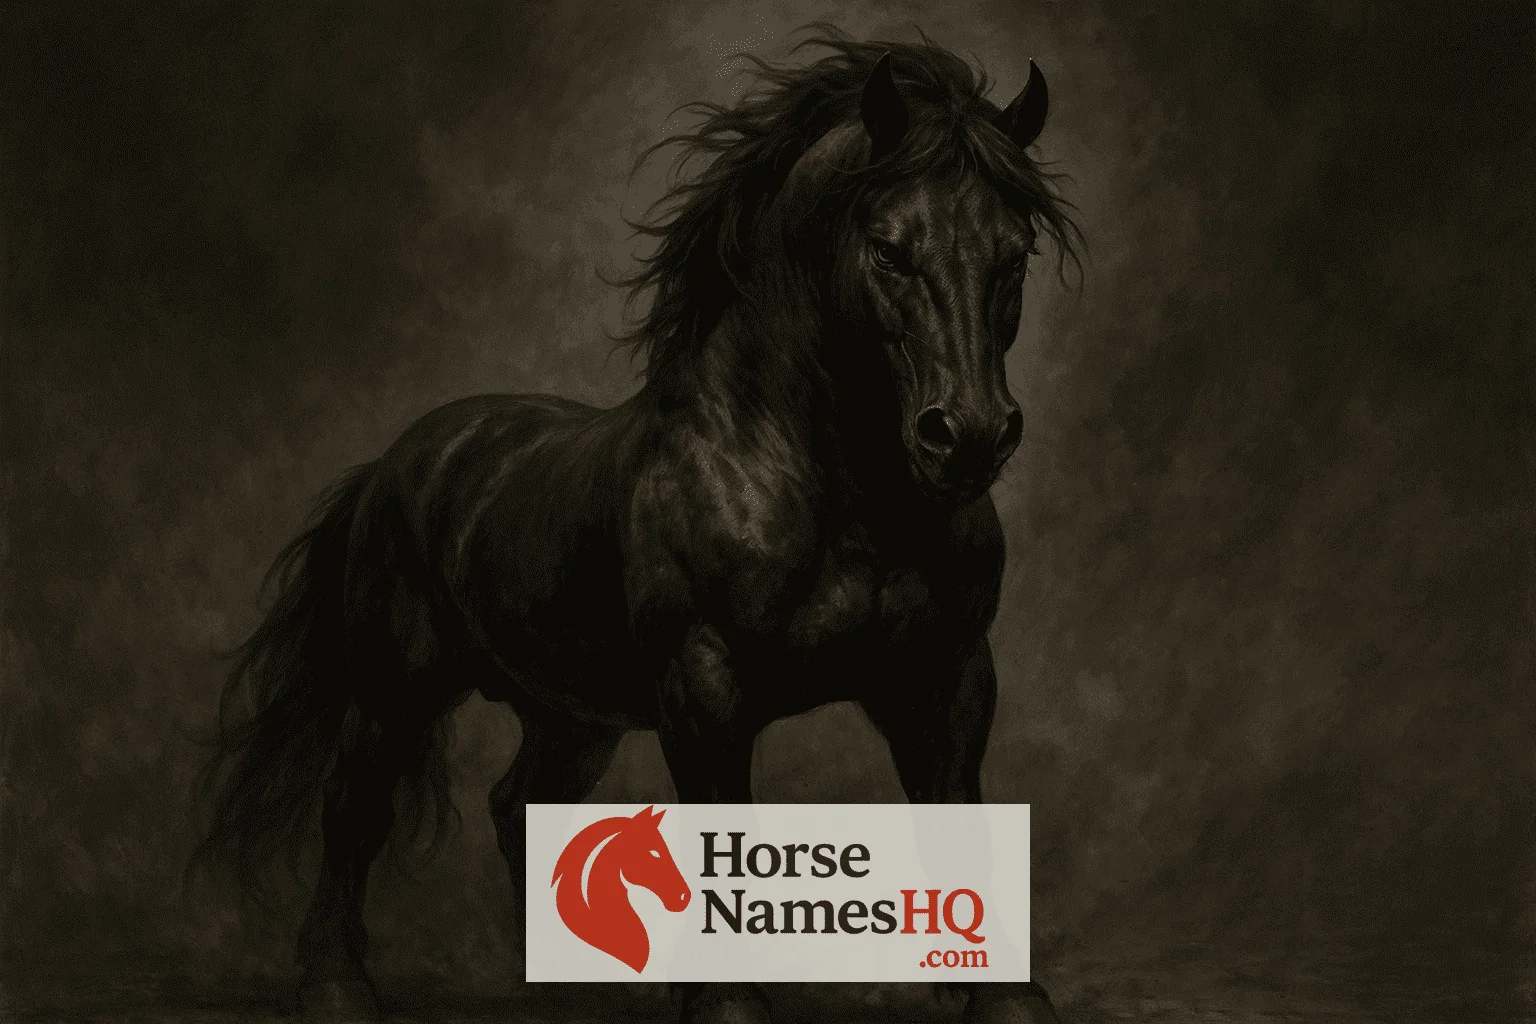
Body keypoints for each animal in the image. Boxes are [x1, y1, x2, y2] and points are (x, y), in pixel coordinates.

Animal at [196, 26, 1079, 1024]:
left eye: (1015, 254)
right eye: (889, 249)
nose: (967, 436)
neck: (838, 494)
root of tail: (397, 462)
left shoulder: (947, 675)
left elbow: (959, 820)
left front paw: (1006, 1000)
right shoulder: (703, 684)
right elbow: (724, 834)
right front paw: (728, 1005)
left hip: (570, 713)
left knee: (517, 805)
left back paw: (562, 984)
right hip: (397, 687)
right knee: (354, 806)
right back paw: (336, 982)